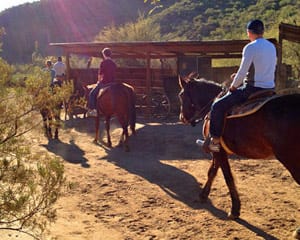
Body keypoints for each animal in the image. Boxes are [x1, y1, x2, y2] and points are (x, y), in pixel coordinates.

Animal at [178, 75, 300, 219]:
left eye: (181, 95)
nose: (182, 118)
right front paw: (203, 195)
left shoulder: (219, 152)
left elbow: (228, 177)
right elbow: (212, 172)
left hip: (291, 160)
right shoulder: (218, 152)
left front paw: (235, 209)